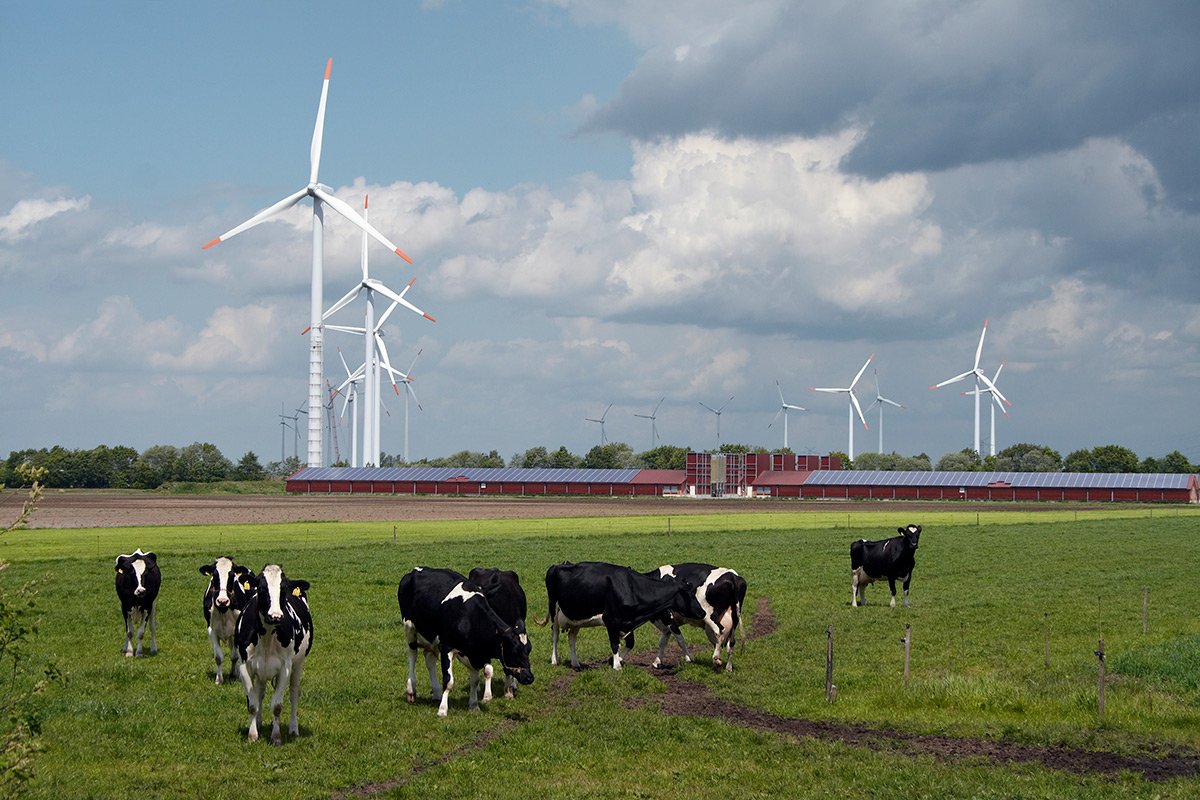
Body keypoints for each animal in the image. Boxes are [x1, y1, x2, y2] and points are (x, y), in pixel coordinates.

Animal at [231, 563, 312, 743]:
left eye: (284, 589)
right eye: (261, 588)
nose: (275, 616)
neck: (267, 636)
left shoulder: (285, 668)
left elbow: (277, 706)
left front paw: (276, 737)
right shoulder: (245, 666)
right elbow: (252, 703)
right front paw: (252, 734)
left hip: (298, 664)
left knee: (294, 693)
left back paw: (293, 729)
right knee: (260, 693)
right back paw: (259, 723)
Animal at [532, 561, 700, 671]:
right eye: (689, 595)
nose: (702, 612)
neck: (631, 587)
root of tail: (558, 565)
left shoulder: (626, 622)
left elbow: (629, 643)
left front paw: (616, 659)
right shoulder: (611, 620)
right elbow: (614, 644)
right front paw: (616, 665)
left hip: (576, 618)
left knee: (571, 639)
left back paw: (575, 663)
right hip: (554, 610)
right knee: (555, 635)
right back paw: (554, 660)